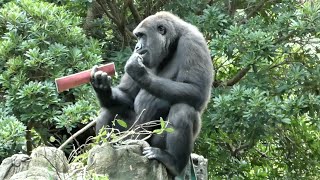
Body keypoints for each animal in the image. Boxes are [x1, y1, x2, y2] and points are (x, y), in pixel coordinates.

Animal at [91, 11, 214, 177]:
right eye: (137, 37)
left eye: (142, 35)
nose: (137, 46)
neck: (173, 43)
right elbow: (127, 95)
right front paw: (102, 87)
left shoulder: (193, 42)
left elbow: (197, 90)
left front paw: (140, 73)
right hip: (132, 138)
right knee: (109, 109)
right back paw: (105, 148)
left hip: (149, 142)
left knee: (183, 109)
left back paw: (173, 162)